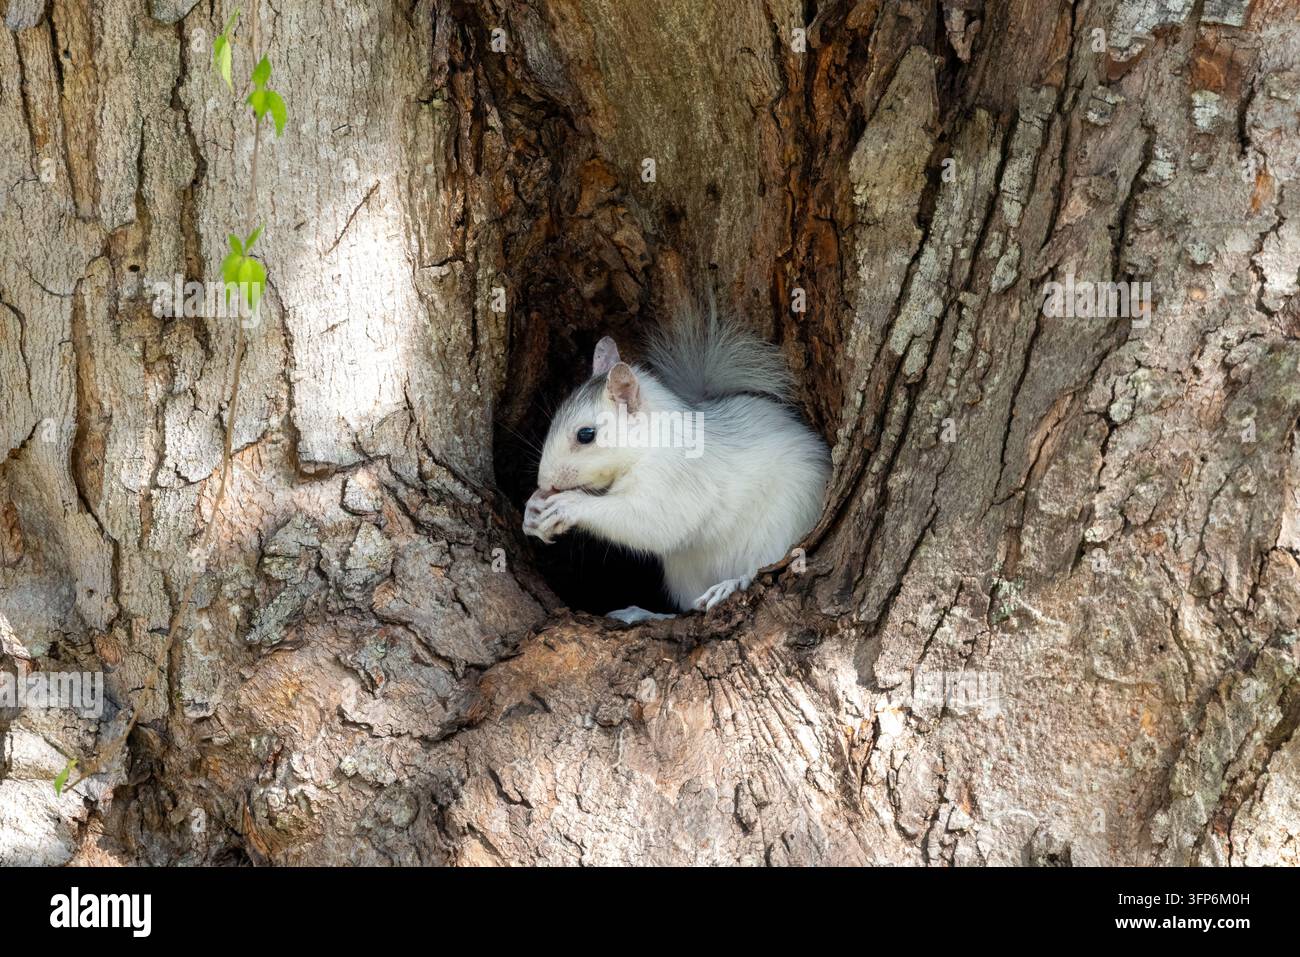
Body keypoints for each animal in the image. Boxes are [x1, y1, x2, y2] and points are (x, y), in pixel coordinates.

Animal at [522, 307, 831, 614]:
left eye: (586, 435)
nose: (543, 482)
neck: (650, 442)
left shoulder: (676, 478)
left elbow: (652, 521)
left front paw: (568, 505)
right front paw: (532, 510)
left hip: (782, 529)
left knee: (758, 570)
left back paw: (728, 585)